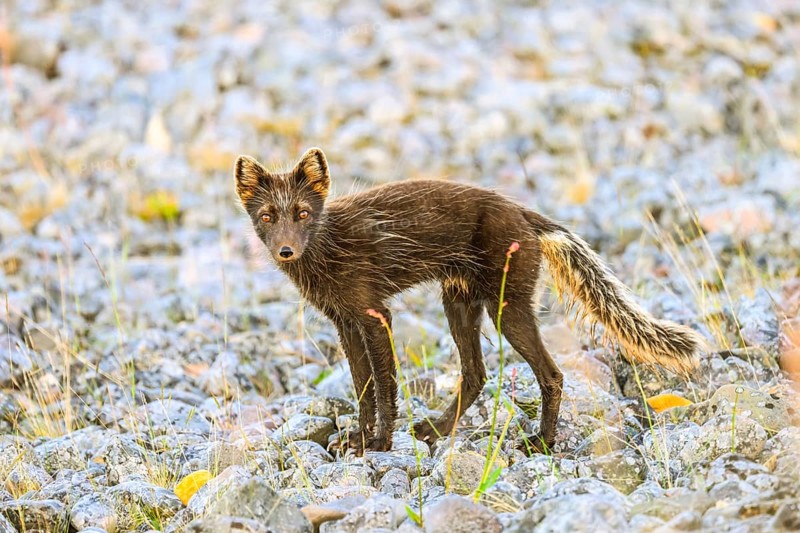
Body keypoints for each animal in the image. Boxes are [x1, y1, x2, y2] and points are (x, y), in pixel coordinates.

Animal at [233, 147, 705, 454]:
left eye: (303, 213)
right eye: (267, 217)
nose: (286, 251)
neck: (326, 250)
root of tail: (526, 213)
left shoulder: (375, 313)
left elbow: (384, 386)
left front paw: (381, 443)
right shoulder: (344, 321)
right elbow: (363, 387)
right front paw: (359, 440)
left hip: (506, 308)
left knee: (551, 374)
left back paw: (541, 443)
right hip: (458, 301)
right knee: (476, 372)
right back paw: (437, 430)